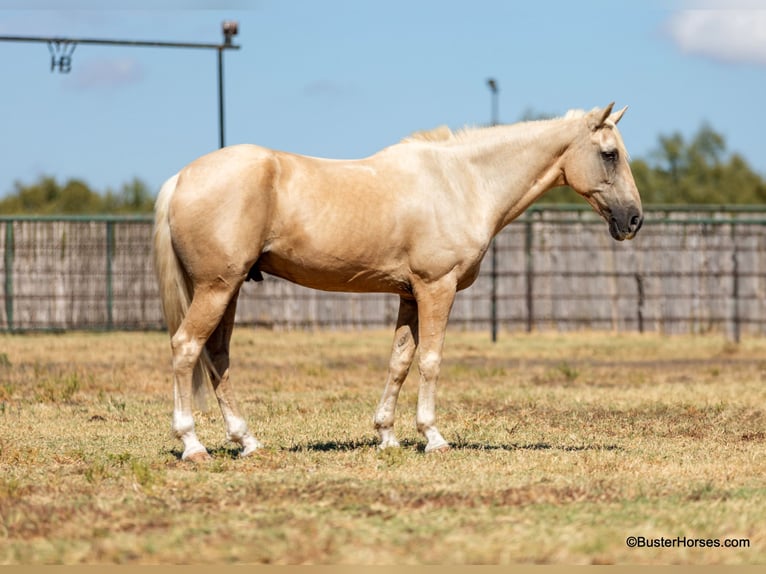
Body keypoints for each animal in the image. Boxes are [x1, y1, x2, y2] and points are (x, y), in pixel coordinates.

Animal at [153, 102, 644, 464]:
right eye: (609, 154)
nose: (634, 220)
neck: (462, 182)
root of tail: (181, 178)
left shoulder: (408, 294)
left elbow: (399, 362)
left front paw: (386, 435)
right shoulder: (435, 288)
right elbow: (430, 360)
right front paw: (433, 436)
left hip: (229, 288)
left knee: (217, 356)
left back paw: (248, 442)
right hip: (217, 287)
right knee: (186, 348)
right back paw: (193, 445)